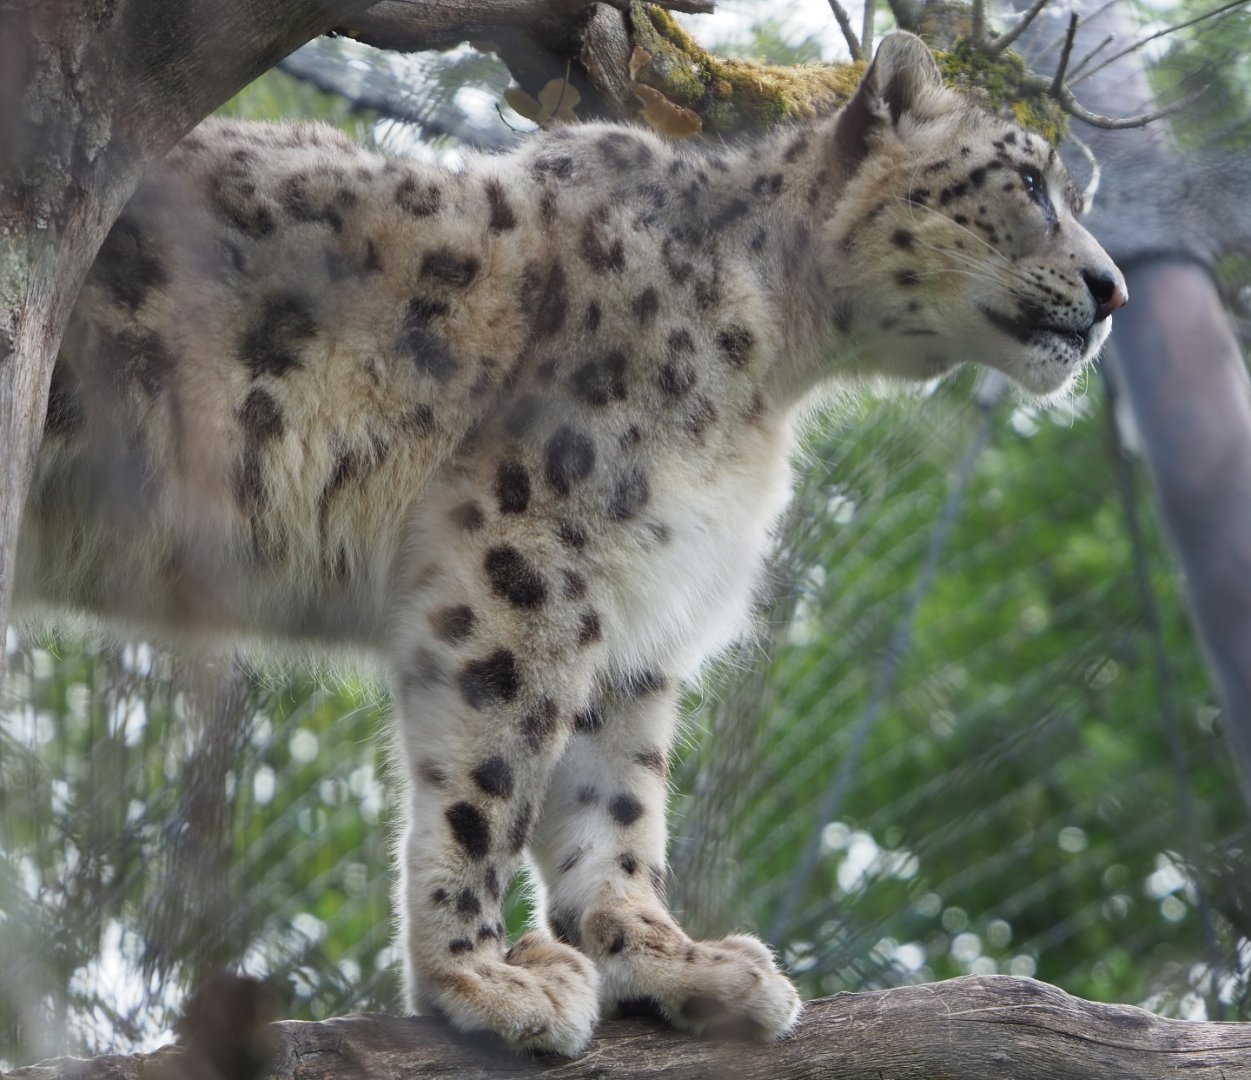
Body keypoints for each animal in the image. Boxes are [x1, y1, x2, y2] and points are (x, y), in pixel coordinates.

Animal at [15, 31, 1126, 1057]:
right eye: (1029, 181)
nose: (1111, 288)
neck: (776, 371)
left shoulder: (640, 596)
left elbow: (618, 798)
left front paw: (671, 958)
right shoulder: (530, 553)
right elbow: (492, 776)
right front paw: (478, 977)